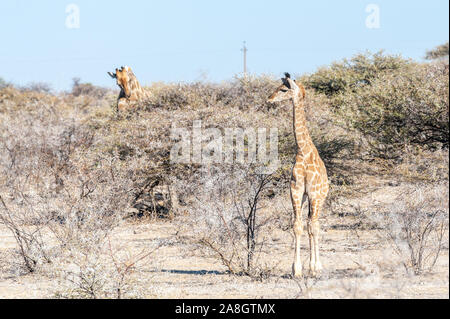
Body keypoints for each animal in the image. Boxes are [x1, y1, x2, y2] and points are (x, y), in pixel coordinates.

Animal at [268, 73, 328, 278]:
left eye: (283, 89)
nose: (269, 99)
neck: (303, 149)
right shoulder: (296, 191)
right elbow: (297, 226)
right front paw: (297, 269)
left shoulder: (313, 193)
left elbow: (312, 227)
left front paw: (313, 267)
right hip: (307, 197)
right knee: (309, 224)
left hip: (319, 198)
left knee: (315, 225)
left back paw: (317, 267)